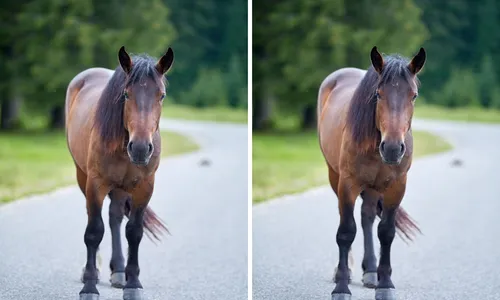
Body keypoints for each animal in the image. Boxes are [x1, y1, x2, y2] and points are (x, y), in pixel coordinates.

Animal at [65, 45, 174, 300]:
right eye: (126, 94)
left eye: (161, 95)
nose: (141, 148)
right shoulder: (95, 184)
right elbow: (93, 231)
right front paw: (89, 286)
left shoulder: (144, 187)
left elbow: (134, 232)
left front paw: (133, 284)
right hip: (83, 177)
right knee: (96, 218)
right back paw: (93, 271)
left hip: (122, 187)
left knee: (114, 216)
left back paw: (119, 271)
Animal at [316, 45, 426, 300]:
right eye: (378, 94)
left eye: (413, 95)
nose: (393, 148)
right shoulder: (347, 184)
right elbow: (346, 232)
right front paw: (341, 287)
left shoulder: (396, 187)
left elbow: (386, 232)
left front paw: (385, 284)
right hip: (335, 176)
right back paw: (346, 271)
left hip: (375, 187)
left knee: (366, 216)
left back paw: (371, 271)